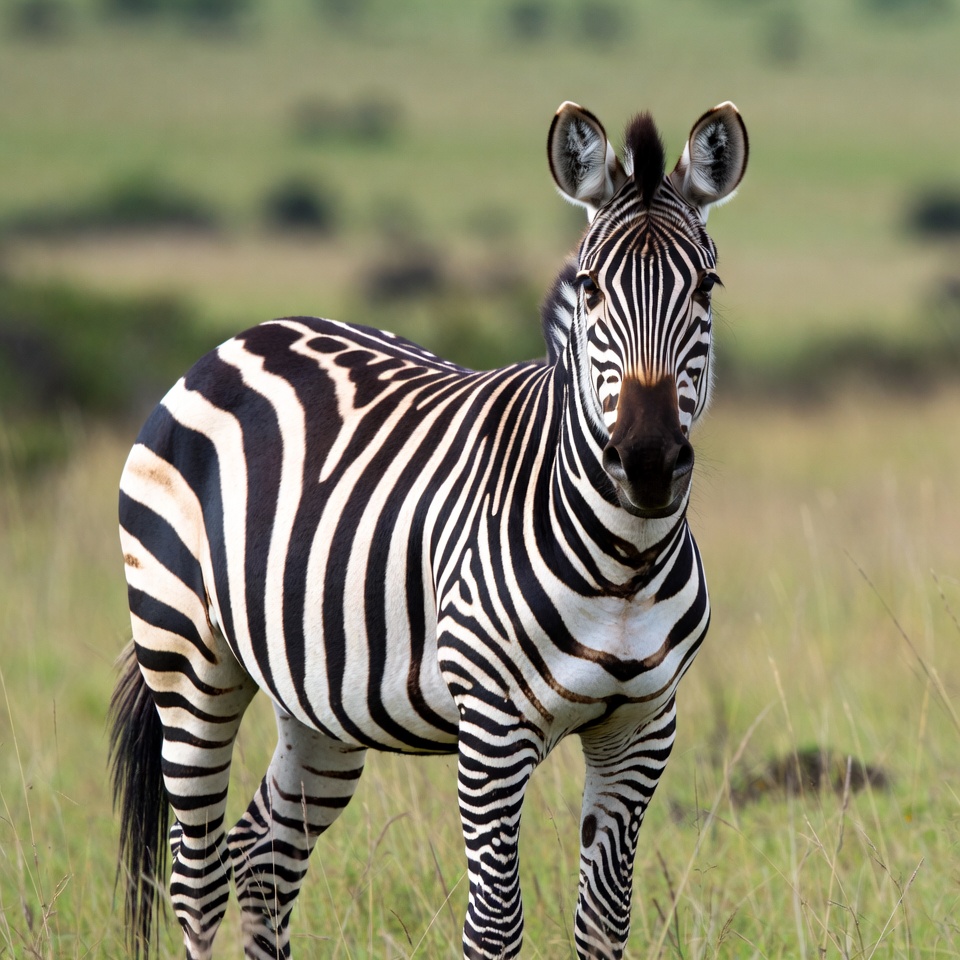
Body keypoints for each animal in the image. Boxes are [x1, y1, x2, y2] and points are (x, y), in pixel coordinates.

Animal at [110, 99, 748, 960]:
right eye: (590, 287)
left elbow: (604, 924)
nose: (646, 461)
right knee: (198, 878)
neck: (624, 562)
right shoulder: (493, 729)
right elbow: (496, 925)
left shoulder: (643, 728)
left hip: (317, 702)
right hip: (187, 656)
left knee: (262, 859)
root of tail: (245, 337)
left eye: (707, 286)